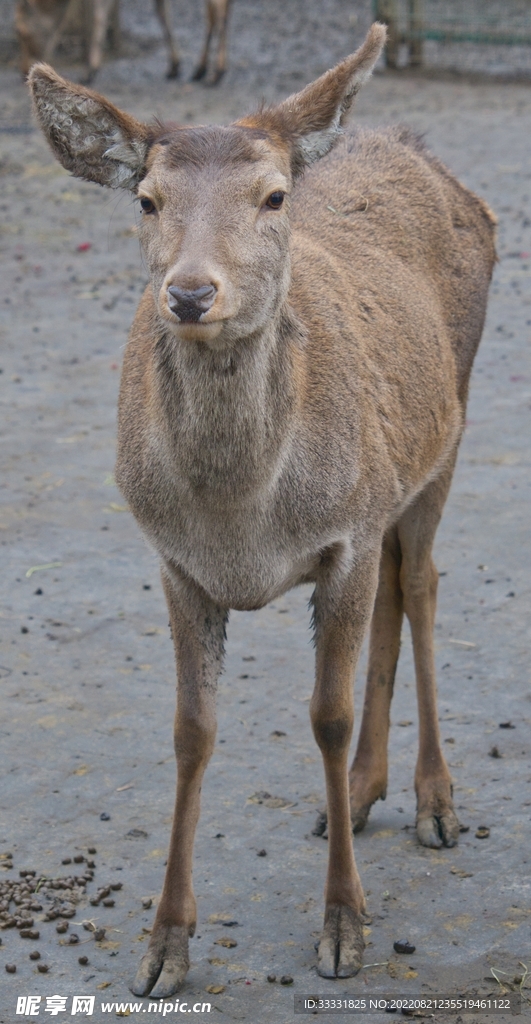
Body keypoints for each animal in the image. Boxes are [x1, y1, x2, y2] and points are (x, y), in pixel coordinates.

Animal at [16, 0, 231, 84]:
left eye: (21, 33)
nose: (24, 70)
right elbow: (161, 12)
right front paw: (174, 66)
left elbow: (98, 16)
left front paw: (90, 69)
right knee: (217, 14)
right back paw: (201, 69)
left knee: (218, 12)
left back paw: (216, 73)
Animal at [28, 22, 496, 997]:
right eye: (146, 199)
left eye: (274, 196)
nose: (190, 293)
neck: (243, 521)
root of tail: (414, 148)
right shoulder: (173, 560)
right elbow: (190, 732)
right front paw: (164, 945)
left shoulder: (342, 535)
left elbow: (326, 716)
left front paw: (344, 928)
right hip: (387, 483)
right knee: (397, 588)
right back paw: (358, 794)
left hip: (446, 433)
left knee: (422, 582)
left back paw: (433, 801)